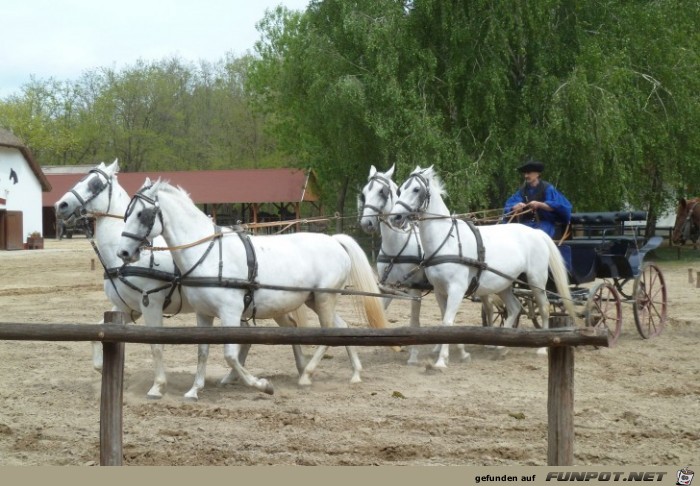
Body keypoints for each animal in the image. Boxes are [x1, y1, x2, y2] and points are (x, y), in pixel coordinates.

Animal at [54, 159, 306, 398]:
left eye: (95, 183)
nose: (60, 205)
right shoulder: (125, 308)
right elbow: (98, 333)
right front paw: (103, 368)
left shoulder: (150, 305)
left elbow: (156, 346)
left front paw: (158, 386)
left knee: (285, 329)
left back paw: (300, 372)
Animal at [116, 180, 388, 396]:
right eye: (127, 213)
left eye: (142, 214)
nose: (123, 253)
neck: (209, 254)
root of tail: (335, 241)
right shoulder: (203, 314)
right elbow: (203, 351)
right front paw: (194, 390)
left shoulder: (230, 313)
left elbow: (230, 355)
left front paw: (262, 385)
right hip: (316, 300)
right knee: (342, 328)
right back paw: (355, 373)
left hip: (324, 299)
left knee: (328, 333)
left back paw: (306, 375)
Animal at [388, 165, 576, 366]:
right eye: (400, 190)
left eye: (416, 189)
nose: (395, 217)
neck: (447, 240)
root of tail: (537, 233)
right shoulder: (439, 290)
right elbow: (445, 321)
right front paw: (452, 352)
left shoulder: (457, 289)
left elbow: (447, 322)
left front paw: (442, 361)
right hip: (505, 284)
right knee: (514, 308)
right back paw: (501, 346)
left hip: (536, 280)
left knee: (544, 307)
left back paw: (541, 348)